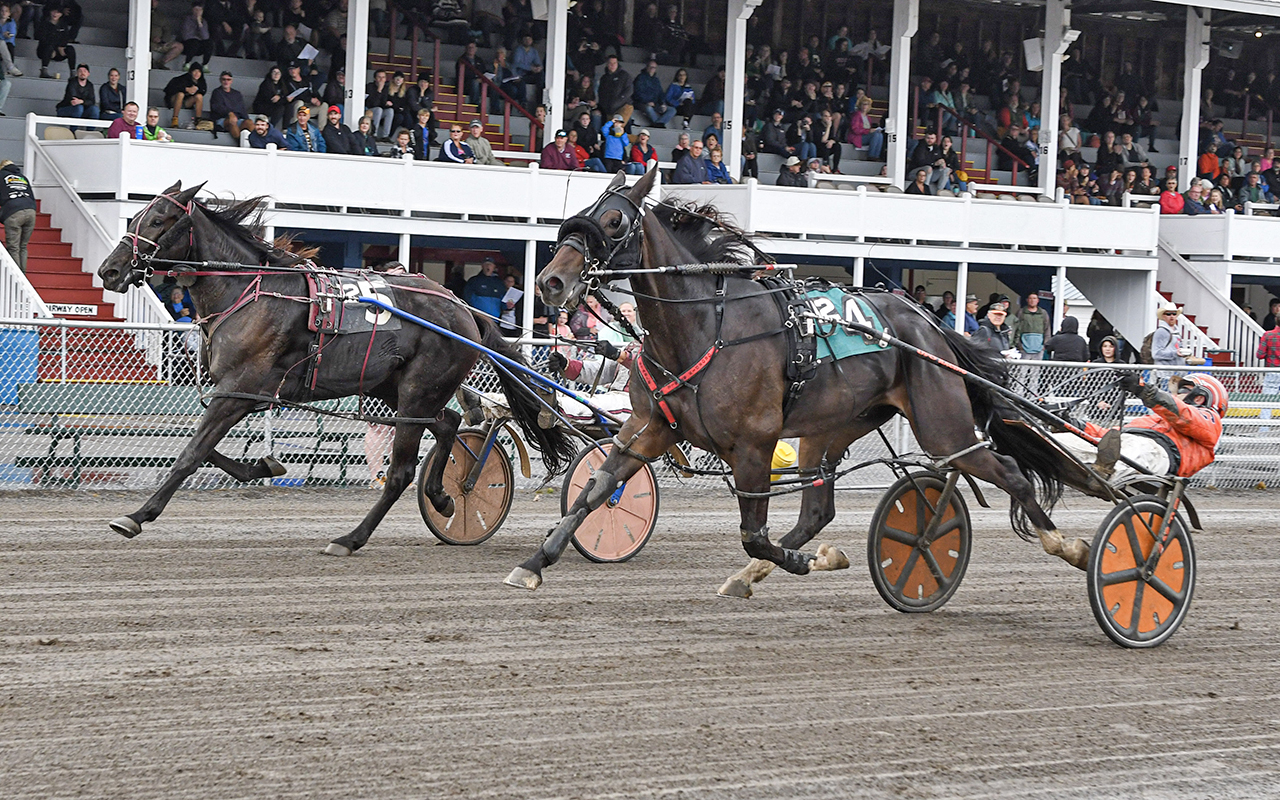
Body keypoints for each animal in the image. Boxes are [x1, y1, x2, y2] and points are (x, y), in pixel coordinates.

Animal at [99, 180, 576, 555]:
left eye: (158, 220)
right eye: (137, 215)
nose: (110, 269)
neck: (252, 292)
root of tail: (462, 308)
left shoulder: (238, 390)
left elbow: (191, 454)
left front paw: (137, 515)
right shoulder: (238, 394)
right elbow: (208, 451)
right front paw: (264, 467)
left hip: (418, 391)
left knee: (402, 470)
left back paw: (351, 538)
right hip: (398, 389)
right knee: (449, 424)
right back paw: (443, 496)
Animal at [504, 170, 1085, 593]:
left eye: (613, 220)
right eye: (580, 215)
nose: (549, 281)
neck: (705, 326)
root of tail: (930, 325)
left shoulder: (754, 443)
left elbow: (752, 534)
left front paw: (803, 562)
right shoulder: (651, 428)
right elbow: (595, 490)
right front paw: (535, 561)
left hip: (943, 425)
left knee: (1010, 471)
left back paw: (1072, 548)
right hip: (831, 427)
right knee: (819, 507)